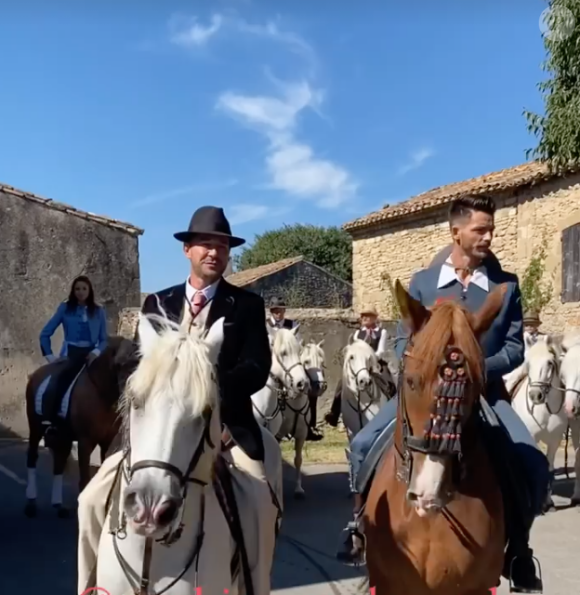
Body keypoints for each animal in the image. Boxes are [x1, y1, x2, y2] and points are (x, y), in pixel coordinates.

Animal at [24, 338, 135, 520]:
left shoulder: (107, 442)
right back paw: (31, 504)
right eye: (119, 364)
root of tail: (35, 375)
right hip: (35, 428)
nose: (129, 397)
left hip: (63, 437)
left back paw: (59, 506)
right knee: (32, 459)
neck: (101, 393)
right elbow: (85, 478)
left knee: (59, 463)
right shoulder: (85, 442)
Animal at [510, 336, 568, 512]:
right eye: (528, 363)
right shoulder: (531, 437)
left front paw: (548, 503)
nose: (536, 395)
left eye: (550, 363)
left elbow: (549, 469)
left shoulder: (555, 440)